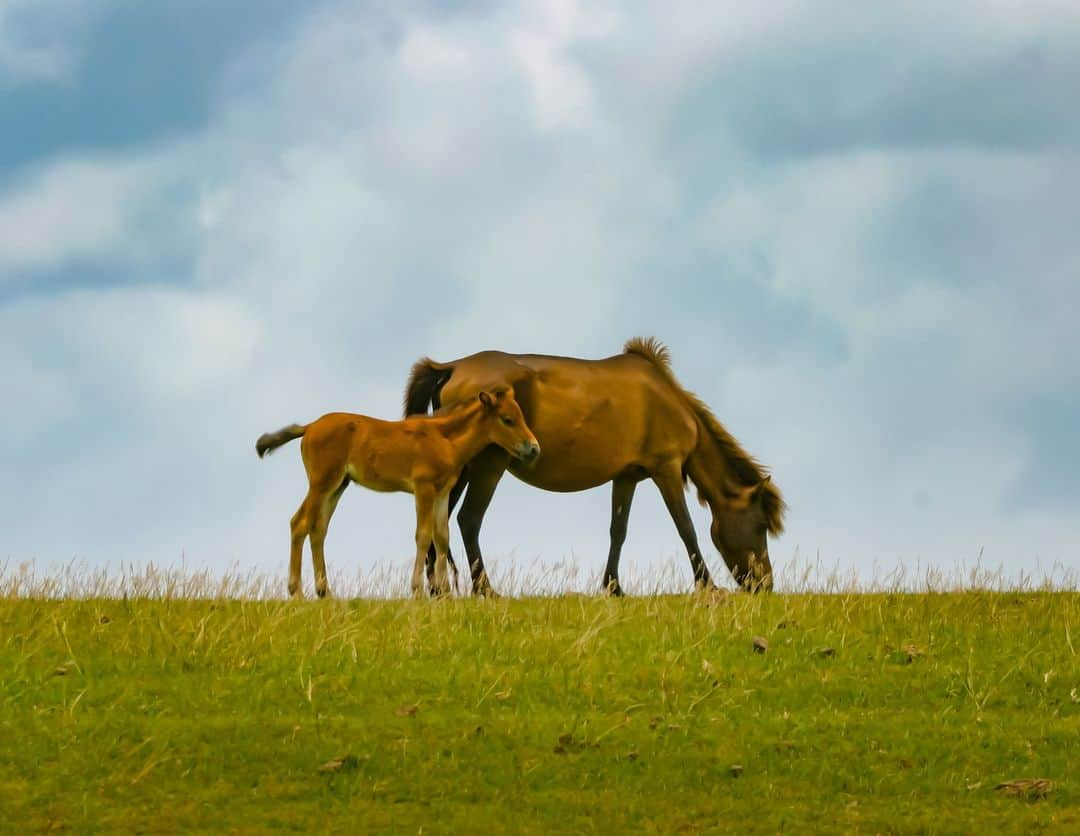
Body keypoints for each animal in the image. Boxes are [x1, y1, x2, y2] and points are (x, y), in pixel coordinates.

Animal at [253, 388, 540, 600]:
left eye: (522, 416)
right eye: (507, 419)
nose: (534, 449)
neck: (445, 439)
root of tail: (310, 427)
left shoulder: (442, 492)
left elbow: (442, 537)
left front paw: (445, 593)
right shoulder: (423, 489)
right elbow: (423, 536)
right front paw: (418, 591)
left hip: (338, 485)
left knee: (319, 529)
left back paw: (325, 592)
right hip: (321, 483)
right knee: (299, 523)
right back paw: (297, 592)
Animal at [406, 336, 786, 600]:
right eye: (761, 525)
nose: (765, 584)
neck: (668, 400)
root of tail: (452, 367)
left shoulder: (627, 477)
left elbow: (618, 530)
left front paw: (613, 587)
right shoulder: (666, 469)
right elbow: (686, 527)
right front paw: (707, 585)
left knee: (439, 518)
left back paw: (437, 590)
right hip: (487, 465)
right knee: (468, 519)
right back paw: (484, 589)